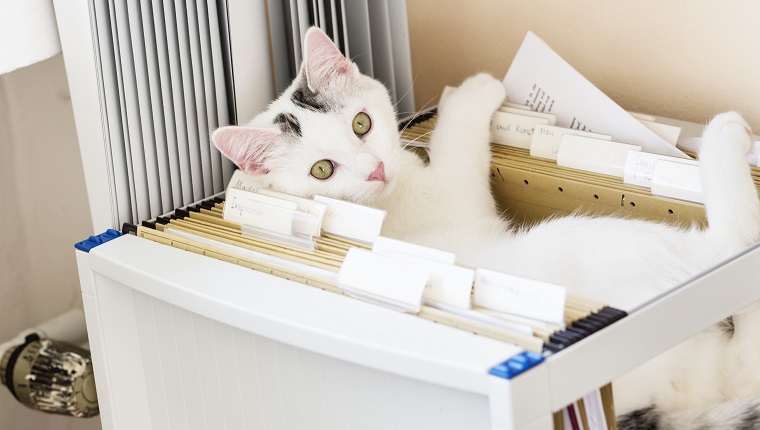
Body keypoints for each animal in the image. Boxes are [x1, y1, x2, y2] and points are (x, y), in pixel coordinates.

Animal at [211, 27, 760, 430]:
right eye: (321, 170)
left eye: (361, 124)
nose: (375, 170)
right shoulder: (458, 194)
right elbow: (457, 142)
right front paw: (473, 90)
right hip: (596, 243)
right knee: (732, 247)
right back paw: (726, 134)